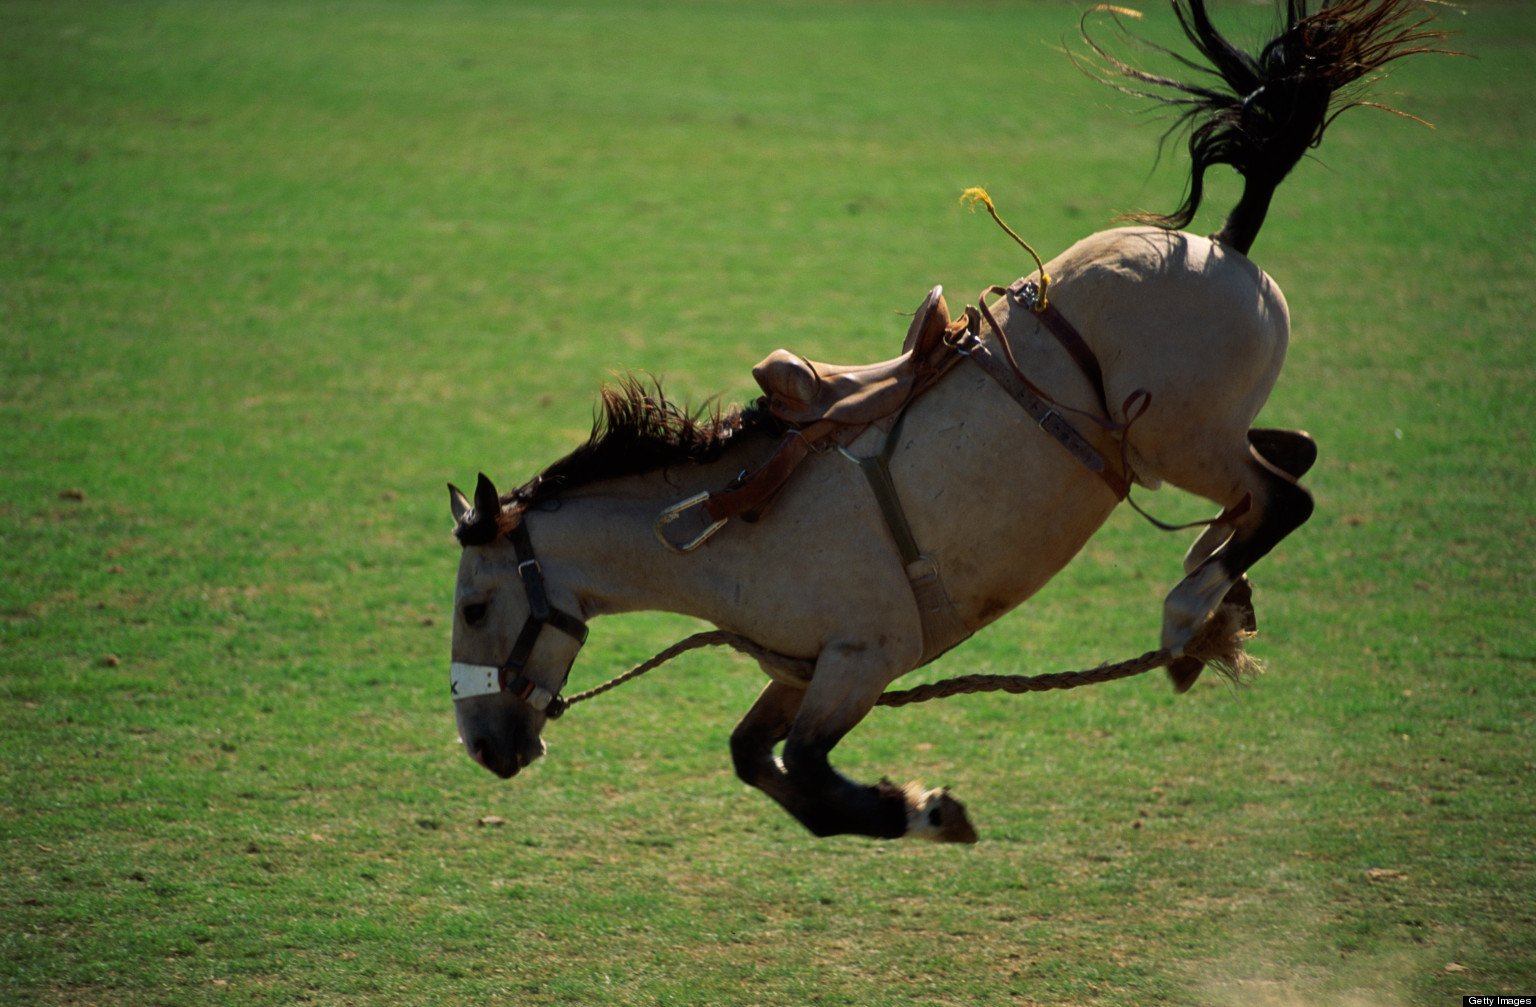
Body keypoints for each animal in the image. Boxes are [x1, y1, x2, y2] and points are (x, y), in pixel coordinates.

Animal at [444, 0, 1448, 843]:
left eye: (475, 605)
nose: (483, 747)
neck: (726, 529)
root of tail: (1223, 243)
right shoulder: (804, 670)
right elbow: (760, 762)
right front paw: (911, 808)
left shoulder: (864, 656)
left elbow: (806, 772)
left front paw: (926, 810)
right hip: (1192, 441)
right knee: (1288, 464)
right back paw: (1216, 601)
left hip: (1181, 440)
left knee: (1283, 498)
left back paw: (1188, 612)